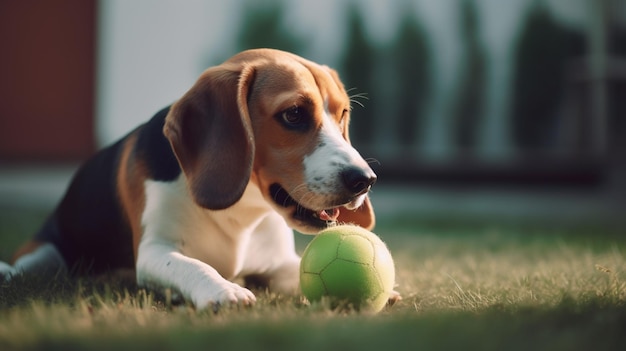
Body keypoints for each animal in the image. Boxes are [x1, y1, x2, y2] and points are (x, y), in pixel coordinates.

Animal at [0, 48, 376, 310]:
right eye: (294, 114)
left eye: (343, 114)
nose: (365, 179)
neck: (241, 211)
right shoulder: (155, 251)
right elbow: (193, 266)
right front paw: (224, 290)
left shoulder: (280, 264)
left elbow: (301, 272)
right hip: (44, 255)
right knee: (25, 267)